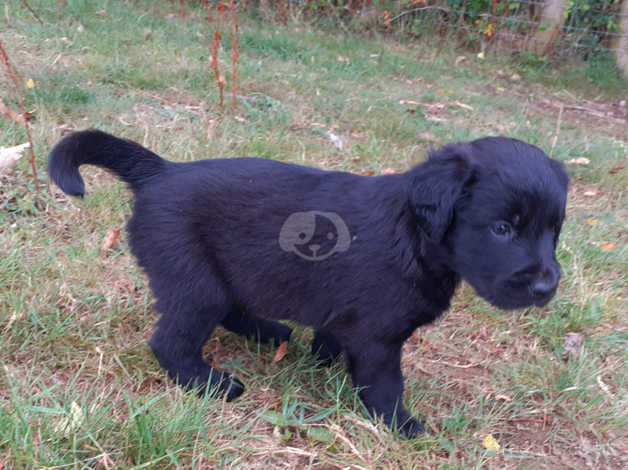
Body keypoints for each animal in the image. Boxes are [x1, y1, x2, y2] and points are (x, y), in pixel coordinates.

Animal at [50, 129, 568, 436]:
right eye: (502, 228)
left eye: (554, 230)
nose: (546, 289)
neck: (414, 234)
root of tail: (161, 172)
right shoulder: (379, 335)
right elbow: (385, 383)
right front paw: (400, 424)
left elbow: (331, 338)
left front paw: (323, 363)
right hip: (195, 282)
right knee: (172, 341)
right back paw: (212, 384)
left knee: (232, 309)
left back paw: (271, 333)